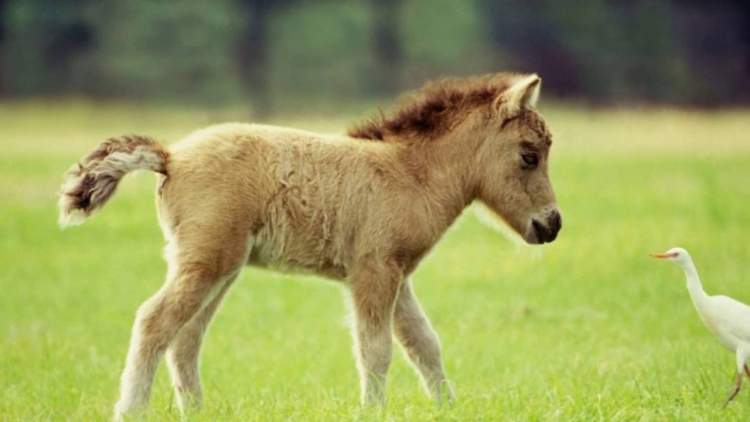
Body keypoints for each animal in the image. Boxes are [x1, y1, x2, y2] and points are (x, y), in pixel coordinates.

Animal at [57, 72, 564, 418]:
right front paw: (373, 412)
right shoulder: (373, 272)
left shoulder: (397, 276)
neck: (411, 174)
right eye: (529, 155)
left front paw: (448, 409)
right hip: (206, 264)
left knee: (186, 338)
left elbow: (424, 344)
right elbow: (375, 351)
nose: (552, 224)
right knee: (155, 322)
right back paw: (131, 411)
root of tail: (171, 157)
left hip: (219, 268)